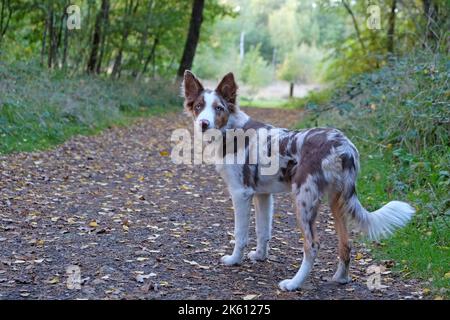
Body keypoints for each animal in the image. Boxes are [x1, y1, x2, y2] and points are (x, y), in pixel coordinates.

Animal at [181, 71, 414, 292]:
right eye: (199, 106)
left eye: (218, 108)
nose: (203, 124)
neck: (231, 130)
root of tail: (344, 146)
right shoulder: (263, 195)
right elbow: (263, 231)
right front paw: (259, 256)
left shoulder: (241, 193)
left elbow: (240, 234)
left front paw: (234, 260)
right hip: (336, 201)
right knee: (345, 244)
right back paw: (341, 278)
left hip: (303, 200)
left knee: (313, 245)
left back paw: (294, 284)